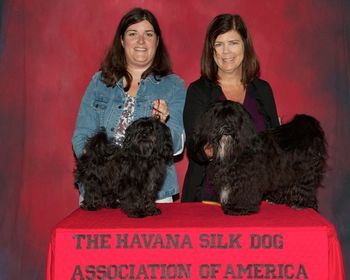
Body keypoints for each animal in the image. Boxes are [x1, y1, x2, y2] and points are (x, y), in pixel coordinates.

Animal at [191, 100, 328, 214]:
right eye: (219, 117)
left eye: (235, 118)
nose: (227, 128)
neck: (231, 149)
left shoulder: (246, 178)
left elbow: (244, 193)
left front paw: (239, 208)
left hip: (305, 173)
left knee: (305, 188)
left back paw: (301, 204)